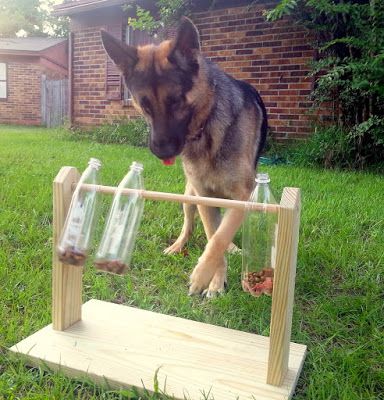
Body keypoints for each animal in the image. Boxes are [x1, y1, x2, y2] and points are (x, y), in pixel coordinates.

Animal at [100, 16, 266, 296]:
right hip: (190, 196)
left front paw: (202, 275)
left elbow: (220, 237)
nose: (162, 151)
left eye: (176, 100)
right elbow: (213, 236)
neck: (207, 129)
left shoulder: (243, 196)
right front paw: (215, 280)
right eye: (144, 105)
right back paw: (178, 245)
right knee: (189, 225)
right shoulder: (204, 198)